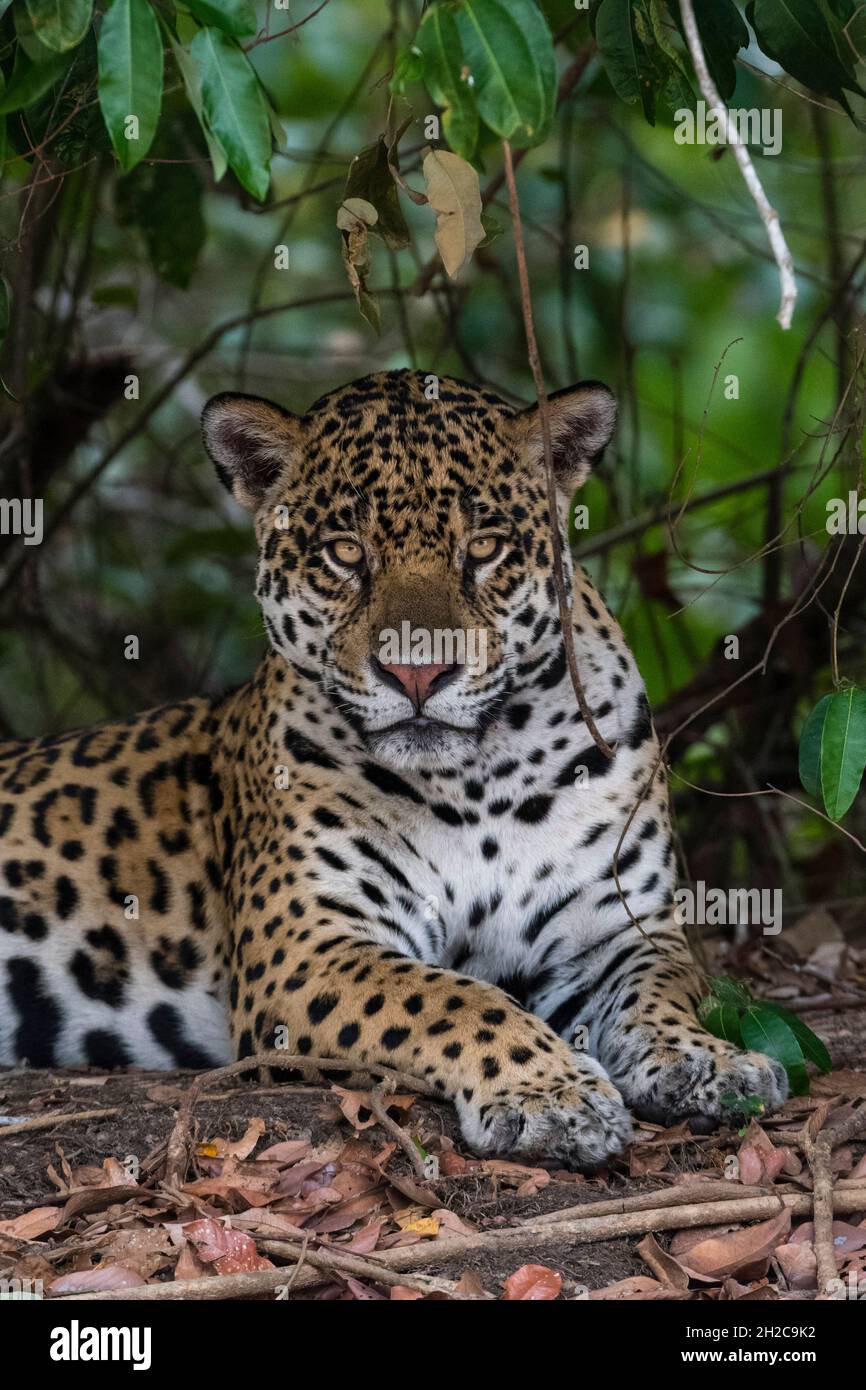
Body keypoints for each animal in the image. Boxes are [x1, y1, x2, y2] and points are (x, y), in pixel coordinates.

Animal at [0, 369, 787, 1168]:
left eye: (485, 546)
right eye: (346, 553)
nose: (418, 672)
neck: (481, 780)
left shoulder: (618, 929)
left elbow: (668, 987)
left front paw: (710, 1060)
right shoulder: (311, 945)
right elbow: (449, 997)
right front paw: (552, 1094)